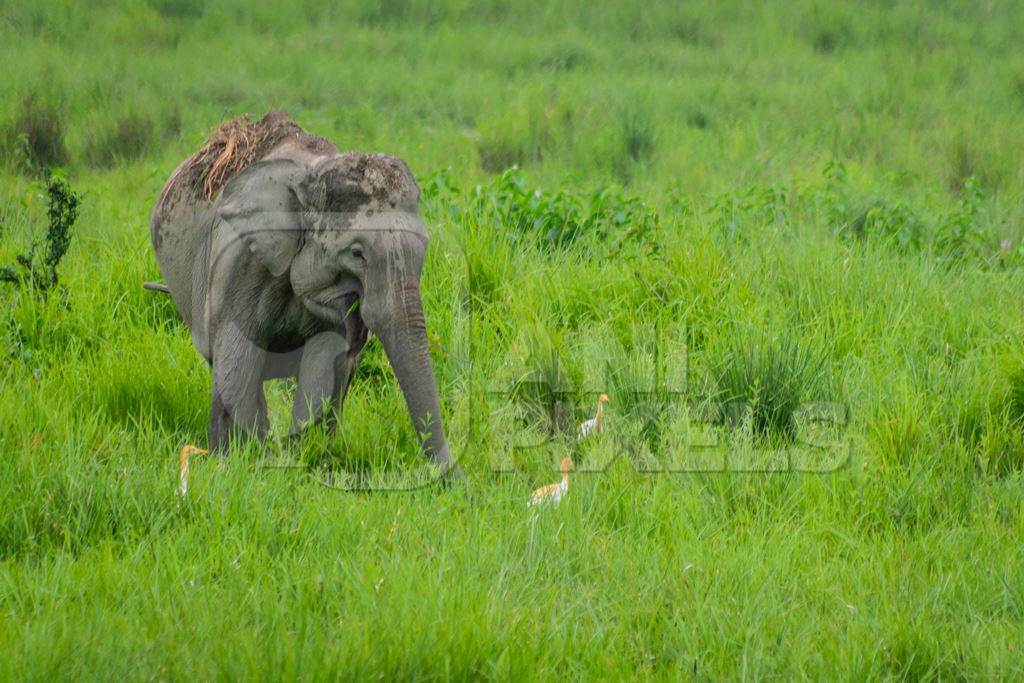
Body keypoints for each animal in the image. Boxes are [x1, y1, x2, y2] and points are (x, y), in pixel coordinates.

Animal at [148, 109, 460, 479]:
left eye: (423, 249)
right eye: (357, 254)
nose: (454, 479)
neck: (310, 179)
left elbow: (324, 361)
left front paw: (302, 457)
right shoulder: (240, 259)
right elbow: (237, 359)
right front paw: (240, 461)